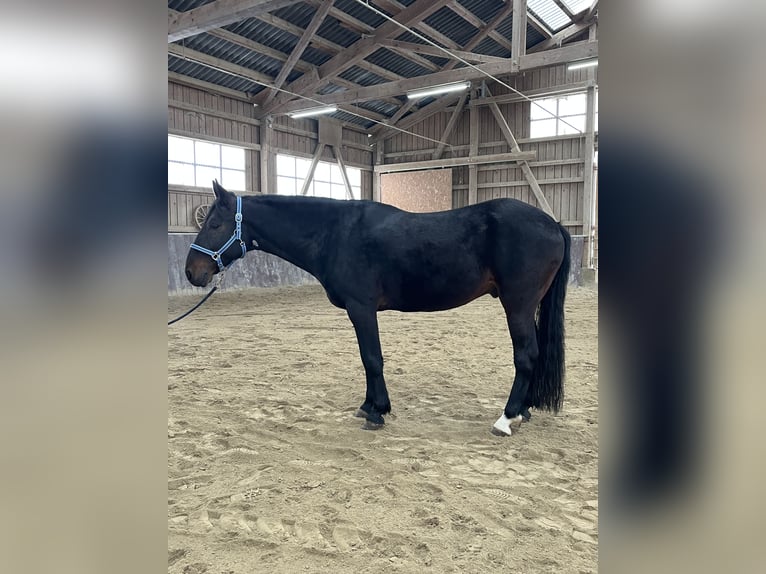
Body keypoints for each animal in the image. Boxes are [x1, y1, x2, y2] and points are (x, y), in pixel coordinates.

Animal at [186, 182, 568, 438]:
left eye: (215, 225)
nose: (192, 272)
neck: (335, 233)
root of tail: (553, 223)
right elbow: (368, 360)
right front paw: (369, 406)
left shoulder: (361, 308)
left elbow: (372, 358)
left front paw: (377, 412)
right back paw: (524, 411)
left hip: (517, 305)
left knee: (525, 356)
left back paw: (506, 418)